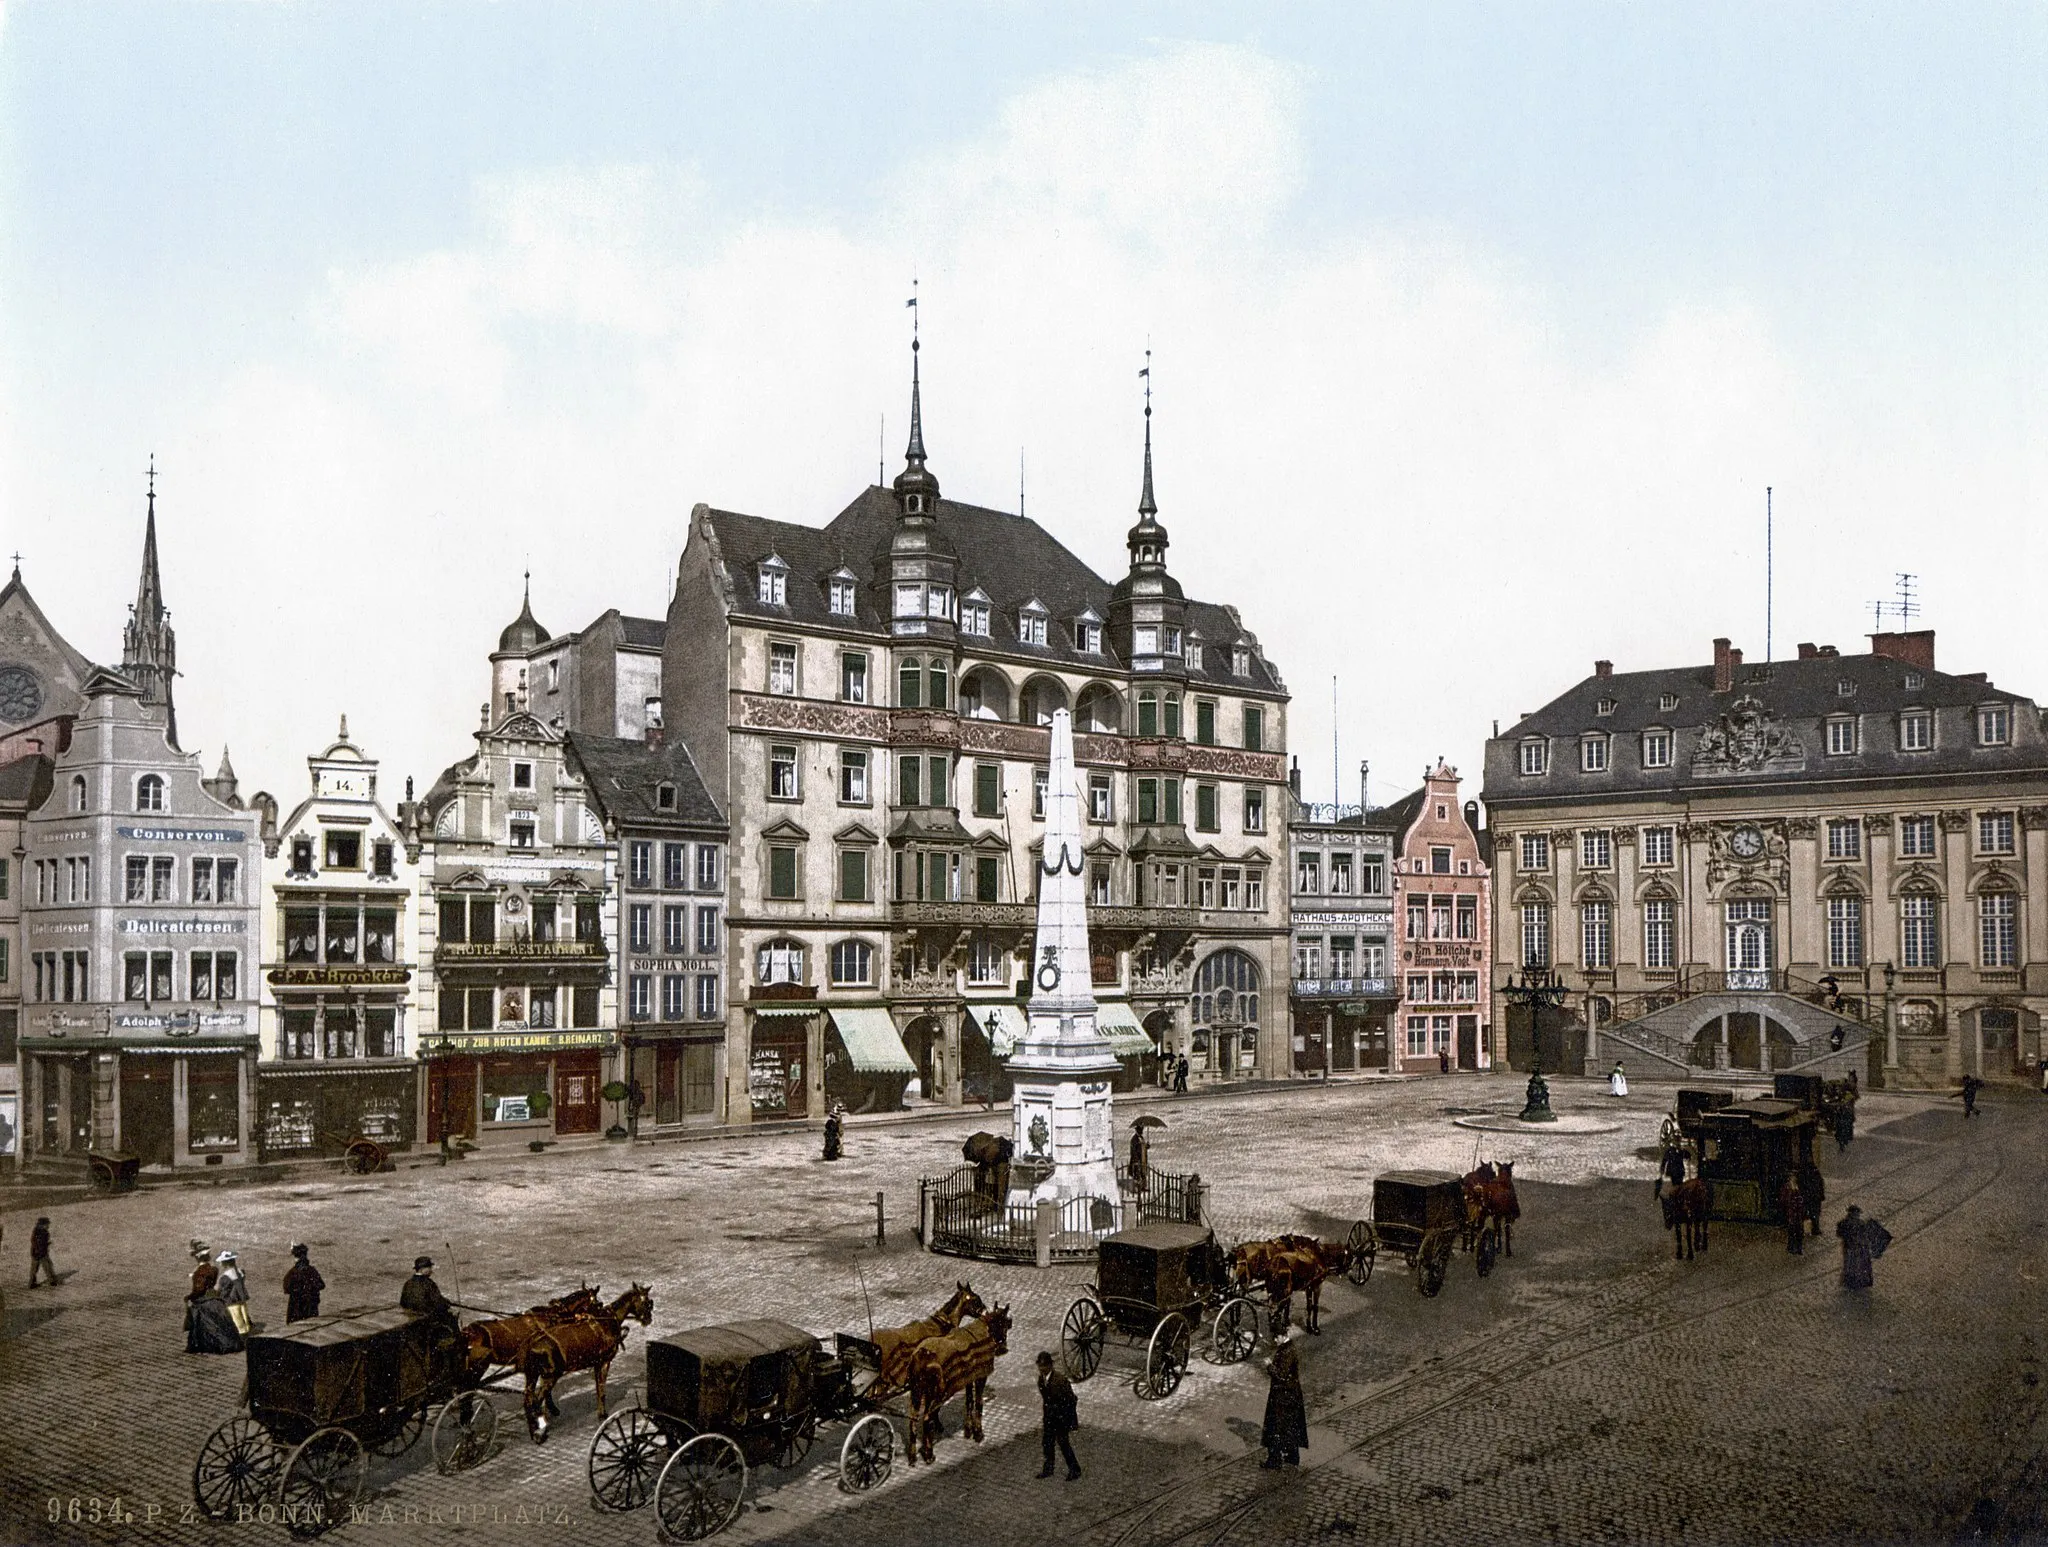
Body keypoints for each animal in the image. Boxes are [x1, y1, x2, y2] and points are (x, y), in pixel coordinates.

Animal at [524, 1286, 651, 1442]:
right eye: (646, 1302)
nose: (648, 1318)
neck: (607, 1320)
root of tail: (533, 1342)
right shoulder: (604, 1362)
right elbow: (601, 1389)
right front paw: (602, 1415)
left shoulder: (597, 1364)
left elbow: (598, 1388)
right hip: (550, 1375)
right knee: (536, 1402)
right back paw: (538, 1432)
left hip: (533, 1375)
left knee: (528, 1402)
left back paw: (534, 1430)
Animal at [909, 1303, 1011, 1467]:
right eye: (1005, 1323)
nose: (1003, 1348)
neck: (984, 1331)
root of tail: (922, 1355)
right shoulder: (981, 1376)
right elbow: (978, 1403)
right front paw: (978, 1432)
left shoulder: (968, 1378)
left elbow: (969, 1401)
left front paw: (968, 1430)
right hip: (935, 1393)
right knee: (926, 1419)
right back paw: (928, 1454)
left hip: (917, 1392)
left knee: (913, 1420)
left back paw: (913, 1456)